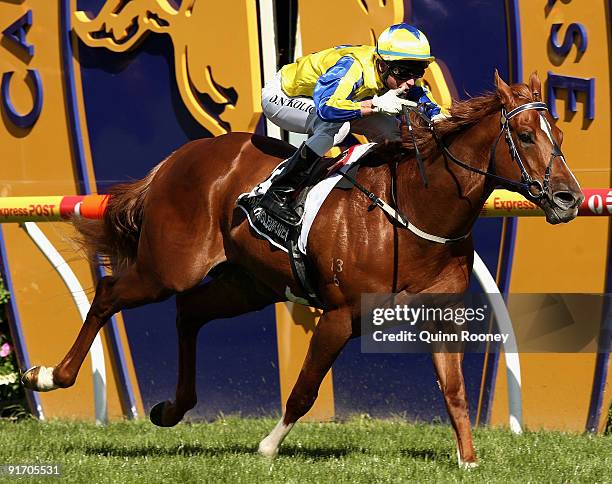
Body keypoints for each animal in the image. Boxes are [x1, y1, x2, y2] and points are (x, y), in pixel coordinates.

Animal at [21, 71, 580, 466]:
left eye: (557, 133)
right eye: (525, 136)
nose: (568, 198)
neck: (417, 210)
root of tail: (179, 157)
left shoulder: (439, 318)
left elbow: (455, 392)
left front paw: (467, 460)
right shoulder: (339, 315)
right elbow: (306, 389)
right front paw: (269, 446)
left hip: (248, 283)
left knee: (189, 312)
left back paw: (172, 408)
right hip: (169, 267)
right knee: (110, 292)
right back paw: (49, 374)